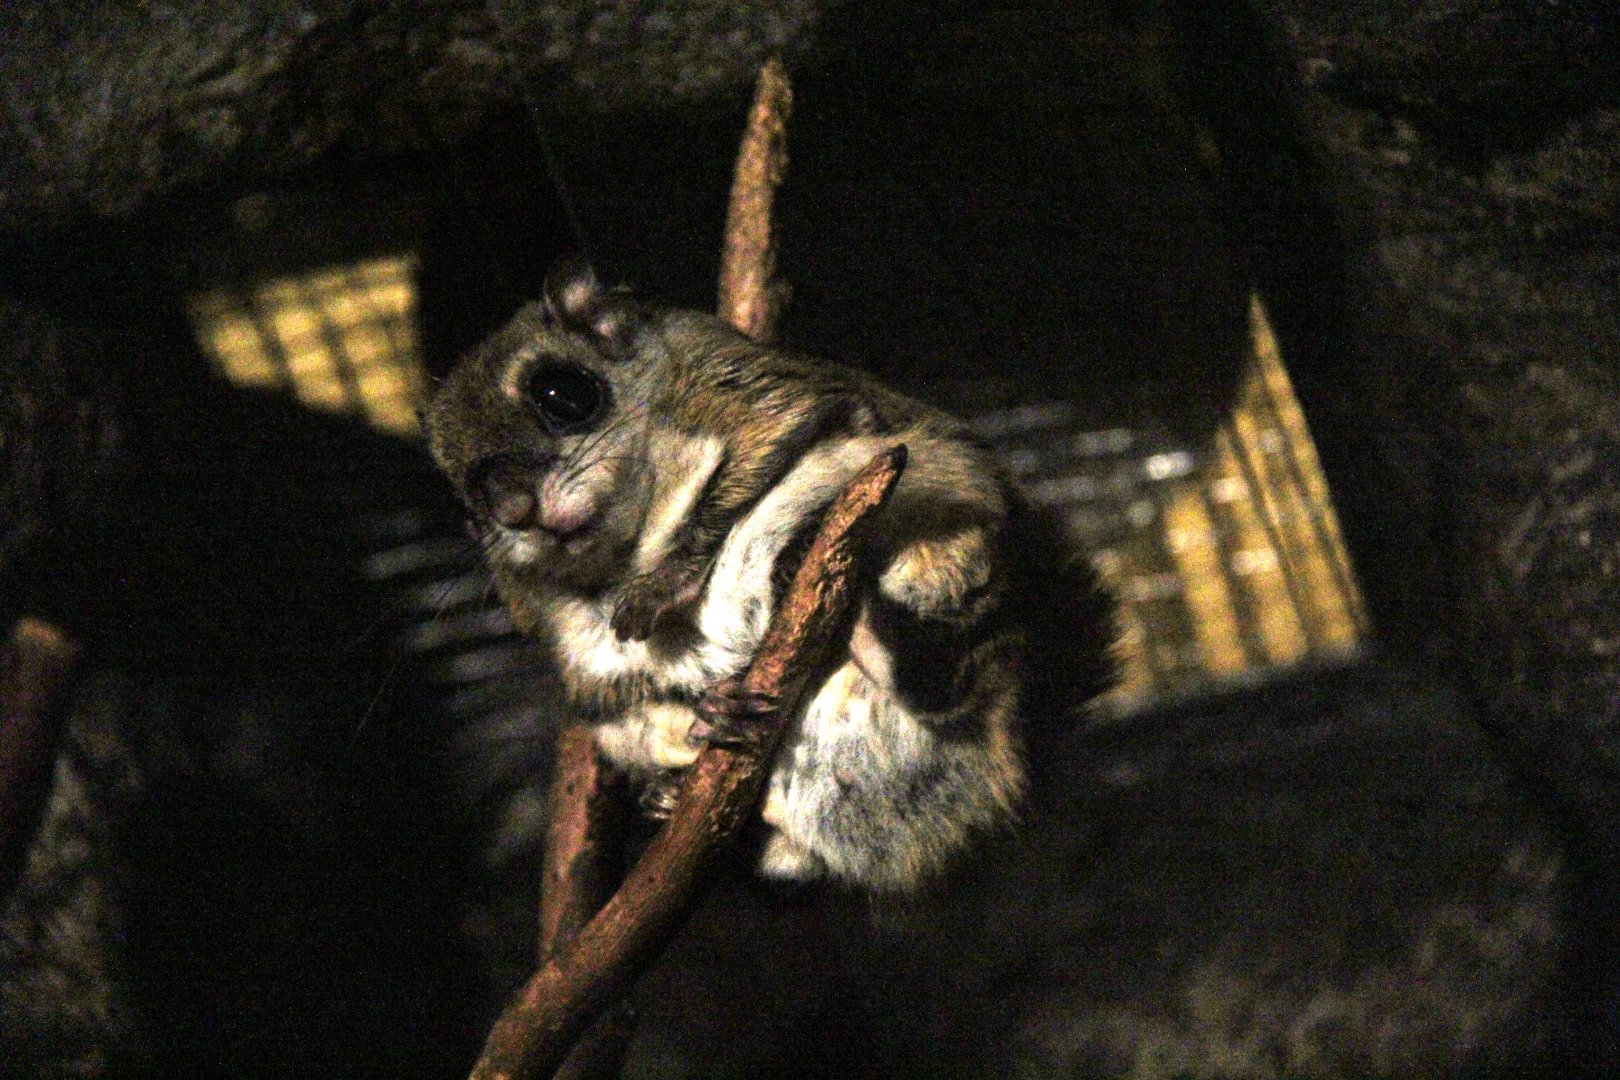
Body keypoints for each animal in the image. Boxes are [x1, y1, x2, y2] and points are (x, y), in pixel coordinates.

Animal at [425, 260, 1114, 893]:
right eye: (471, 502)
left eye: (563, 394)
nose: (513, 507)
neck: (631, 539)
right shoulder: (582, 656)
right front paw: (702, 707)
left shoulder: (740, 386)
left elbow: (763, 452)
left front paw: (660, 588)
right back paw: (685, 779)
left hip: (950, 549)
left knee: (950, 678)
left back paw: (852, 614)